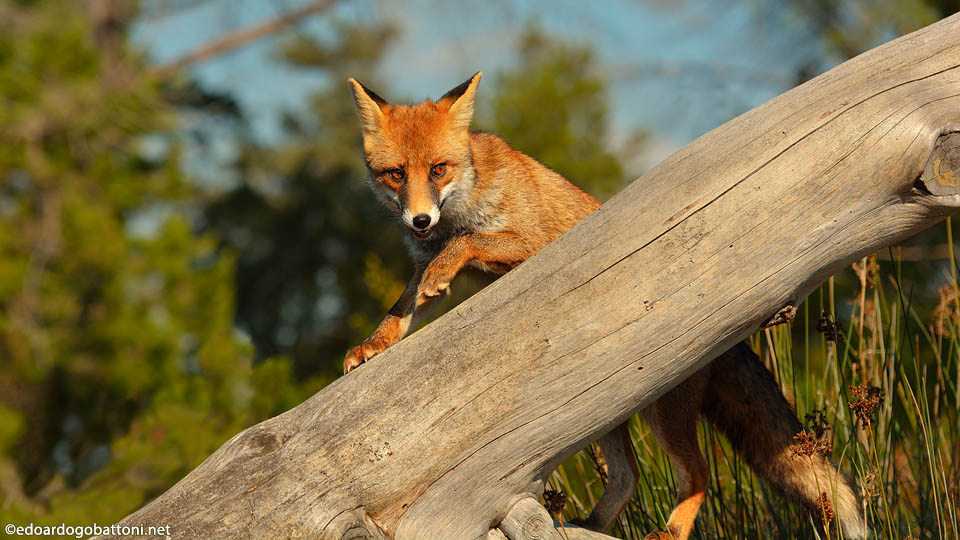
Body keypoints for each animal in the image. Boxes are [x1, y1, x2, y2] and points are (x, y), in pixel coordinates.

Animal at [343, 72, 867, 540]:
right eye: (396, 175)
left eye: (438, 169)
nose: (419, 219)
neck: (461, 207)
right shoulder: (425, 258)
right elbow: (402, 305)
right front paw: (373, 345)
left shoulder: (534, 247)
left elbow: (466, 244)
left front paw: (441, 272)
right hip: (597, 415)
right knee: (629, 477)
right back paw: (588, 527)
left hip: (659, 413)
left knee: (698, 473)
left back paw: (669, 532)